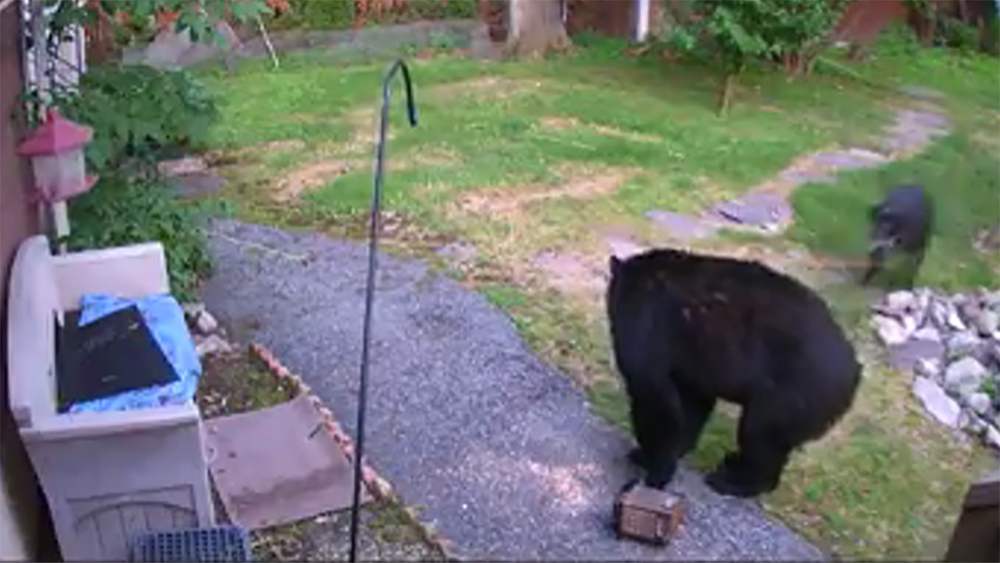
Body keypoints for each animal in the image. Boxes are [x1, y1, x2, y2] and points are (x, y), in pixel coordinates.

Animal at [606, 248, 862, 498]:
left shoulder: (645, 322)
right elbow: (692, 404)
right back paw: (732, 464)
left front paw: (651, 465)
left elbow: (652, 395)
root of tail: (854, 373)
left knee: (759, 437)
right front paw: (674, 450)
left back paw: (732, 482)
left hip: (790, 395)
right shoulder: (697, 364)